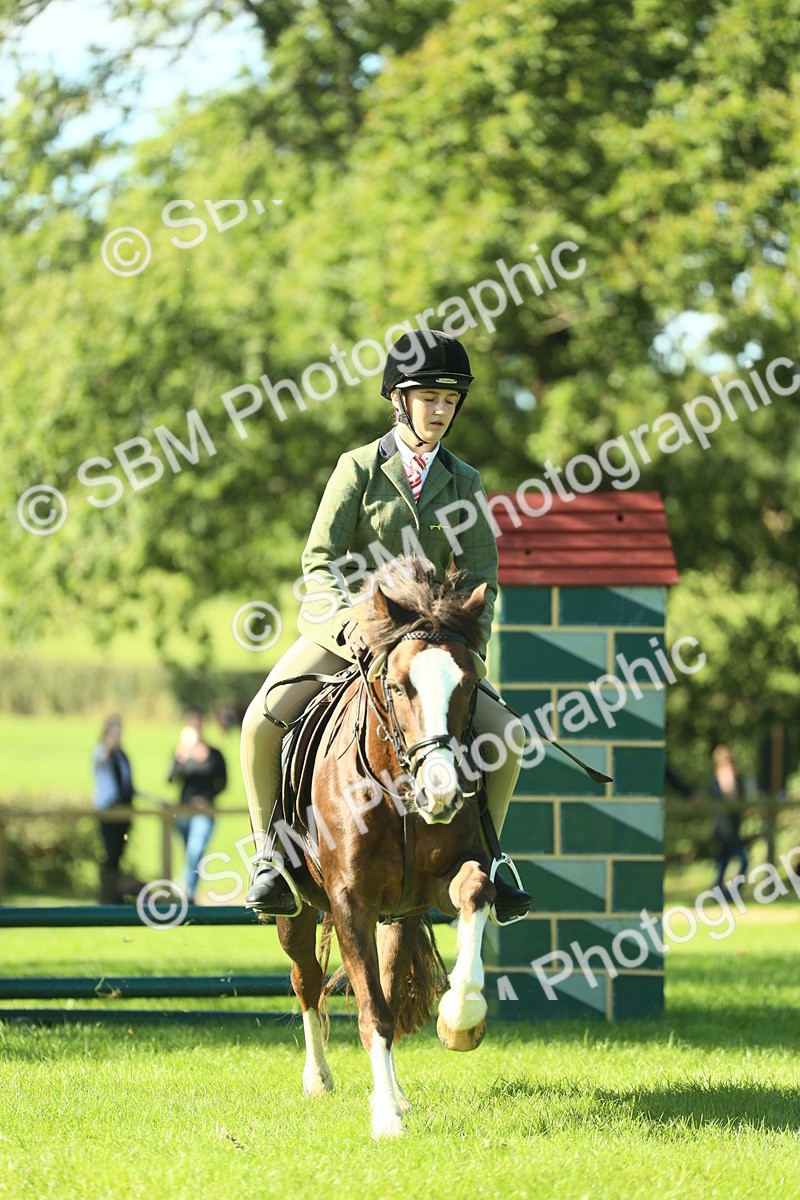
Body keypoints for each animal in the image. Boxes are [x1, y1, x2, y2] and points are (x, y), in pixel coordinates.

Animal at [268, 557, 502, 1139]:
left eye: (469, 685)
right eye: (396, 688)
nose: (440, 793)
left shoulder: (442, 881)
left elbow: (475, 894)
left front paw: (460, 1018)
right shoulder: (350, 900)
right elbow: (370, 1009)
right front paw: (386, 1120)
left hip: (396, 915)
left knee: (389, 985)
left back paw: (394, 1089)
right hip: (296, 911)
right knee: (306, 980)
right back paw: (320, 1080)